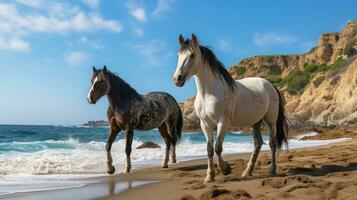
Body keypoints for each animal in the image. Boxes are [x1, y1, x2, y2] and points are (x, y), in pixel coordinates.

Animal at [172, 34, 286, 183]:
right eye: (178, 55)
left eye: (192, 55)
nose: (177, 79)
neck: (208, 93)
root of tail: (271, 85)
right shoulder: (205, 124)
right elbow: (209, 149)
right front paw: (209, 177)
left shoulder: (223, 121)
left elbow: (218, 148)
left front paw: (226, 169)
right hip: (255, 122)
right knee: (258, 144)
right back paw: (247, 171)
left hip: (270, 121)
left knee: (272, 144)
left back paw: (272, 171)